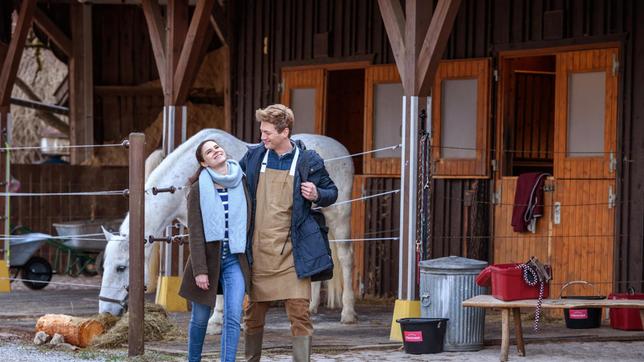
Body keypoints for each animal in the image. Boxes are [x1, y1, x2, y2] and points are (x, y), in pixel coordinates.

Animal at [99, 129, 358, 332]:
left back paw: (348, 313)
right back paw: (311, 306)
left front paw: (218, 320)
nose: (106, 310)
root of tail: (341, 149)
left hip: (339, 217)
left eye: (121, 267)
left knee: (346, 258)